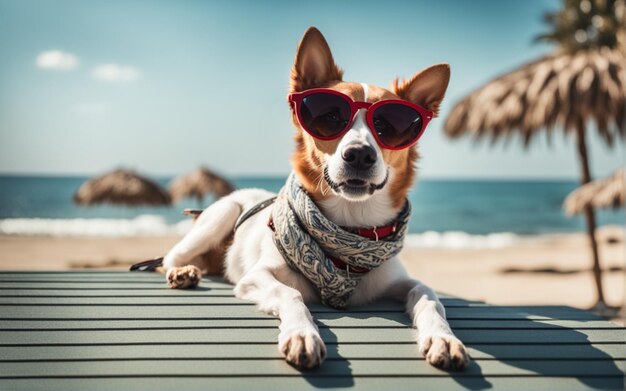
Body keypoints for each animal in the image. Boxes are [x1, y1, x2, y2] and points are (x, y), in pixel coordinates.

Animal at [162, 26, 468, 370]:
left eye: (388, 125)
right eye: (331, 117)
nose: (359, 154)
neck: (349, 228)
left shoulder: (402, 281)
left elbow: (430, 297)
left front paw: (443, 338)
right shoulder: (257, 277)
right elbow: (291, 295)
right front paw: (301, 334)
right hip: (221, 214)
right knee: (170, 257)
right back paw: (183, 272)